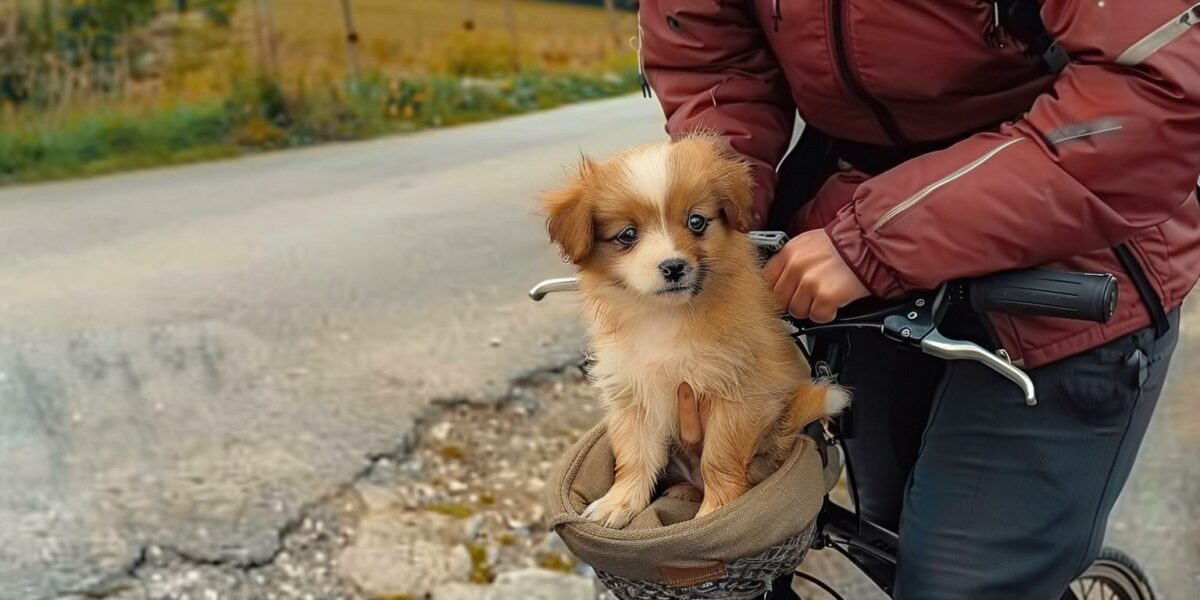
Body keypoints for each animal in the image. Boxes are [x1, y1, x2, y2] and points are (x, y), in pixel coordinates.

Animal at [540, 133, 849, 528]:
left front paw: (715, 513)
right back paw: (683, 491)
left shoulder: (737, 394)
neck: (665, 316)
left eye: (697, 221)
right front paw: (618, 503)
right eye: (627, 234)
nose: (673, 267)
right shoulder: (632, 394)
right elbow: (634, 457)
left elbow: (719, 461)